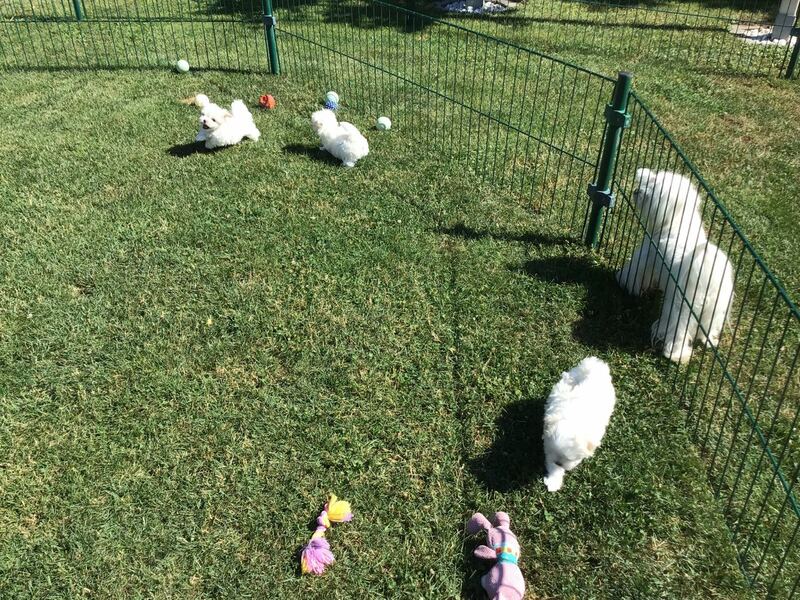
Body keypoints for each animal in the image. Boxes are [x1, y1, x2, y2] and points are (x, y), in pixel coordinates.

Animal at [542, 356, 616, 492]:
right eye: (555, 454)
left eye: (569, 458)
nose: (559, 463)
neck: (572, 420)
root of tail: (593, 366)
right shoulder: (549, 448)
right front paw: (553, 481)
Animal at [616, 169, 734, 364]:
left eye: (651, 191)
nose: (636, 191)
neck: (678, 221)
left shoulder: (647, 252)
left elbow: (635, 271)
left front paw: (624, 282)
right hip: (715, 308)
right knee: (707, 326)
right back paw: (707, 340)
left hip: (681, 307)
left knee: (678, 332)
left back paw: (675, 355)